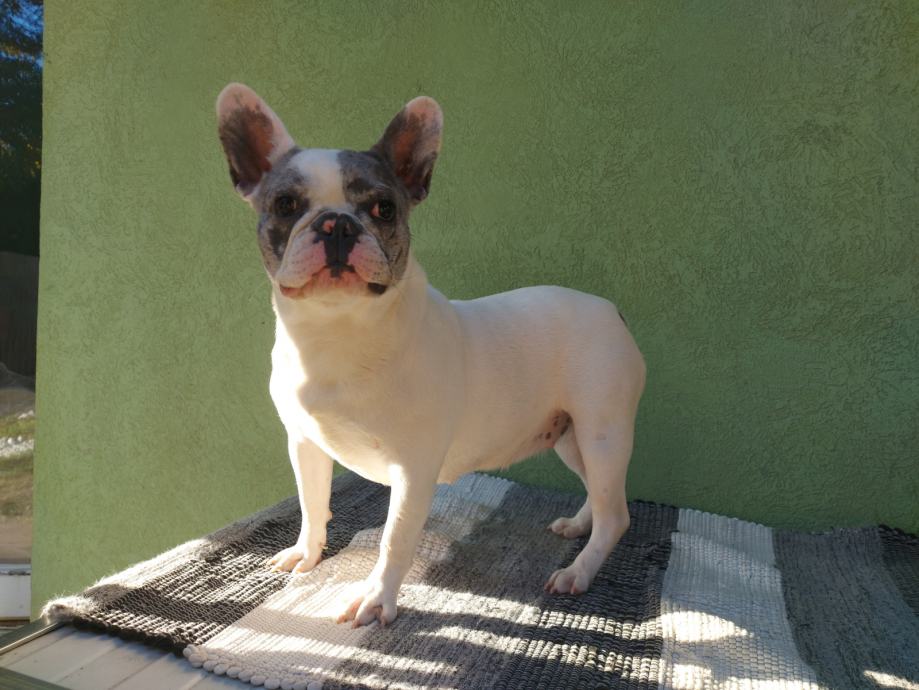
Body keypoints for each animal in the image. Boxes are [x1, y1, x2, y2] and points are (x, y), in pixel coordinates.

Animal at [216, 83, 648, 628]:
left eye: (383, 209)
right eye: (287, 204)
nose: (336, 224)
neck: (338, 332)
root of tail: (612, 311)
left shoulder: (413, 469)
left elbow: (394, 538)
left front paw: (376, 597)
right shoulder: (305, 443)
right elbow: (312, 504)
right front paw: (307, 555)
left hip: (602, 430)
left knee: (616, 513)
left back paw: (579, 571)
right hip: (573, 436)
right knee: (599, 490)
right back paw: (578, 527)